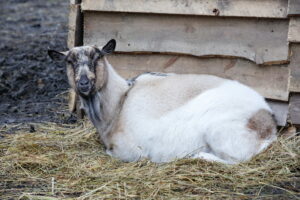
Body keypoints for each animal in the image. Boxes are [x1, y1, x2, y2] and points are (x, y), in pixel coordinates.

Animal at [48, 39, 276, 164]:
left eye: (97, 57)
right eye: (69, 61)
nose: (84, 83)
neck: (119, 103)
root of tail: (268, 124)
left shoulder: (130, 151)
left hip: (220, 133)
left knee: (237, 160)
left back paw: (198, 156)